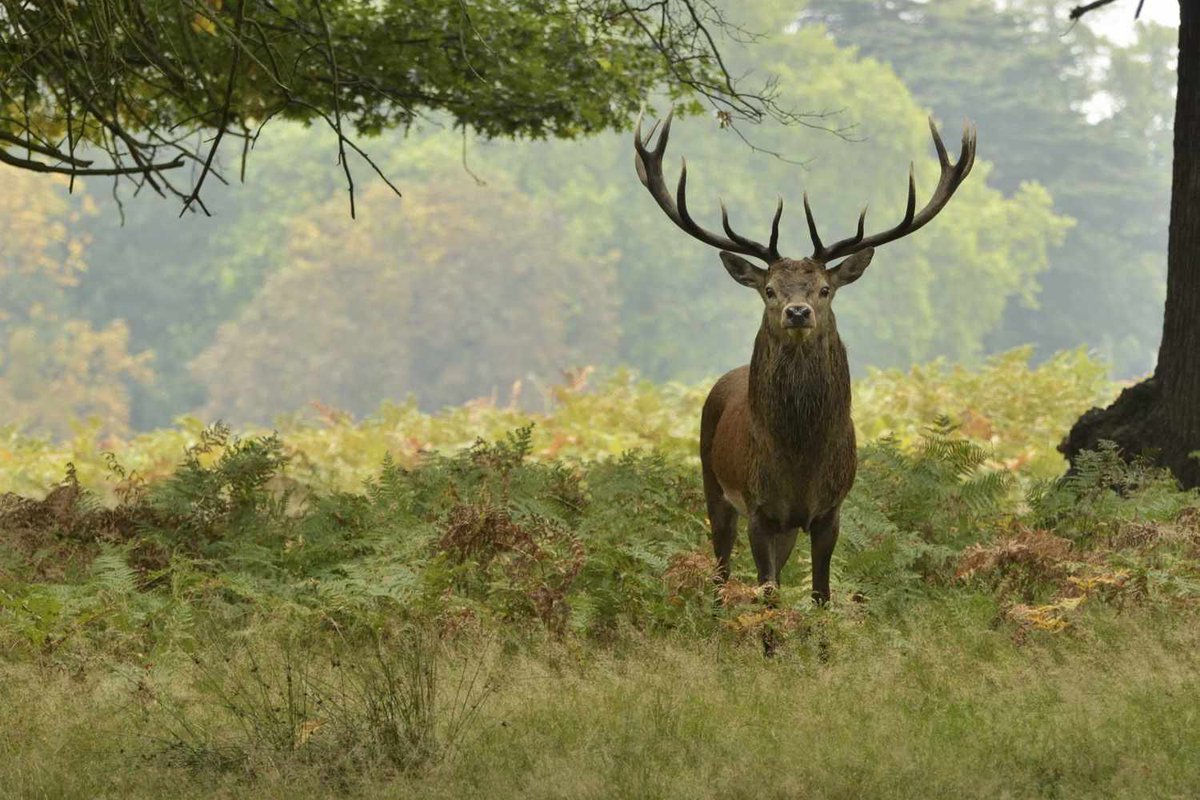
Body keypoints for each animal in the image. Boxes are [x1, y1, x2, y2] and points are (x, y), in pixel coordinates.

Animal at [634, 111, 976, 607]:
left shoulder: (830, 509)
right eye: (769, 289)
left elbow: (820, 594)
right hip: (713, 483)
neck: (799, 459)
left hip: (786, 526)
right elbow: (768, 594)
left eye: (825, 288)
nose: (798, 312)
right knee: (720, 567)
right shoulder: (759, 508)